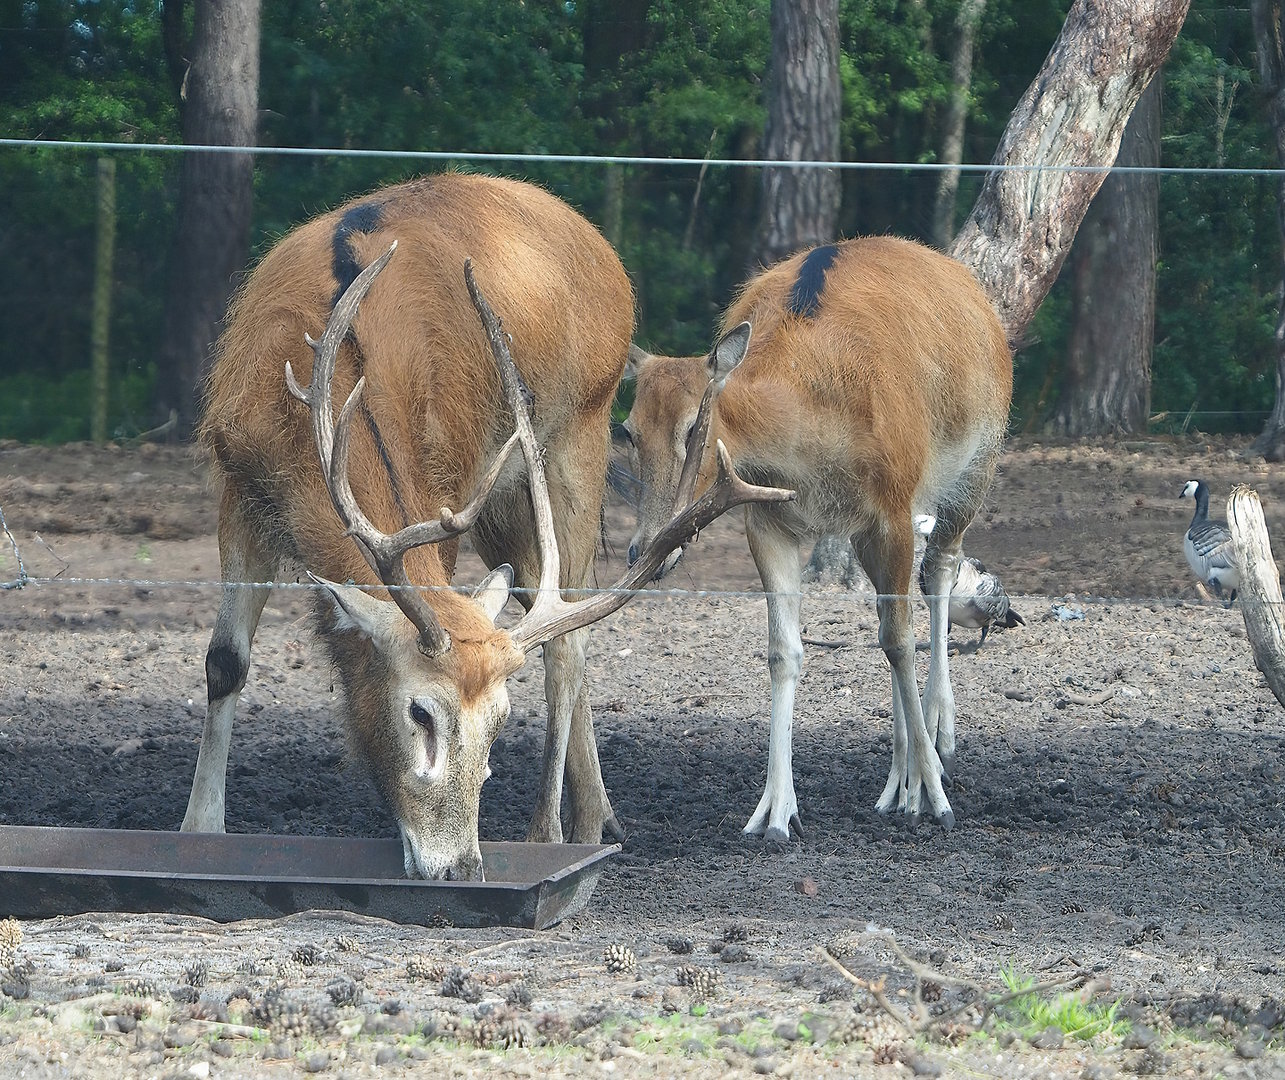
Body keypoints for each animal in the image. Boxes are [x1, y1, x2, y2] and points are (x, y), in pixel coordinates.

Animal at [184, 172, 794, 880]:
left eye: (501, 719)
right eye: (420, 711)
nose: (460, 868)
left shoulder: (444, 494)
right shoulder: (239, 480)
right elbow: (225, 661)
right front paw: (199, 830)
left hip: (579, 435)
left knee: (568, 642)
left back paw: (561, 830)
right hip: (508, 506)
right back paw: (605, 814)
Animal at [623, 236, 1012, 841]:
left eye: (693, 428)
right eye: (627, 431)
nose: (643, 549)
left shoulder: (893, 504)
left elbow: (899, 642)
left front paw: (936, 796)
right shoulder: (768, 519)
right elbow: (785, 651)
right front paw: (774, 812)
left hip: (976, 467)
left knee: (939, 572)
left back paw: (936, 739)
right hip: (870, 534)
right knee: (894, 601)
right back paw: (895, 783)